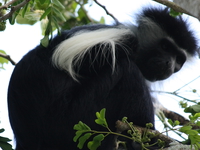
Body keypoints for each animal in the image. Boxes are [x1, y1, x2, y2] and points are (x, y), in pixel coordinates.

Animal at [7, 7, 197, 150]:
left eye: (179, 59)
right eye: (165, 47)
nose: (169, 63)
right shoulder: (120, 38)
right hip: (70, 121)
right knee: (126, 70)